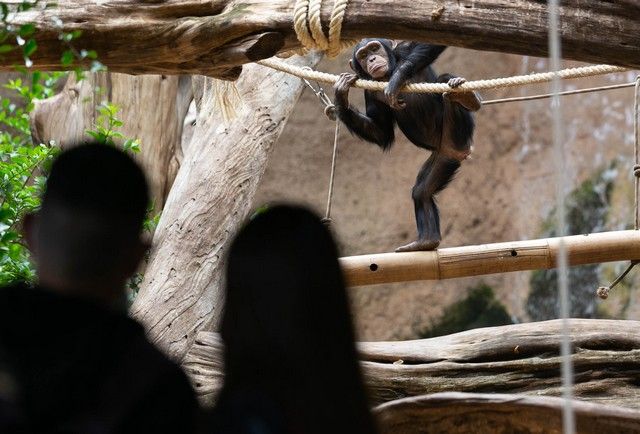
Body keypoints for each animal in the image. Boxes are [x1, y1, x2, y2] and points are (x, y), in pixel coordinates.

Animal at [336, 40, 480, 253]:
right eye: (362, 55)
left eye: (374, 48)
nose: (371, 59)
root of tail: (462, 151)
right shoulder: (369, 92)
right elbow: (381, 132)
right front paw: (340, 96)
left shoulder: (403, 51)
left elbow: (431, 43)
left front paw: (397, 79)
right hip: (444, 156)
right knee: (421, 191)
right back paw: (426, 241)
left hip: (458, 133)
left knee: (445, 82)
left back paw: (466, 96)